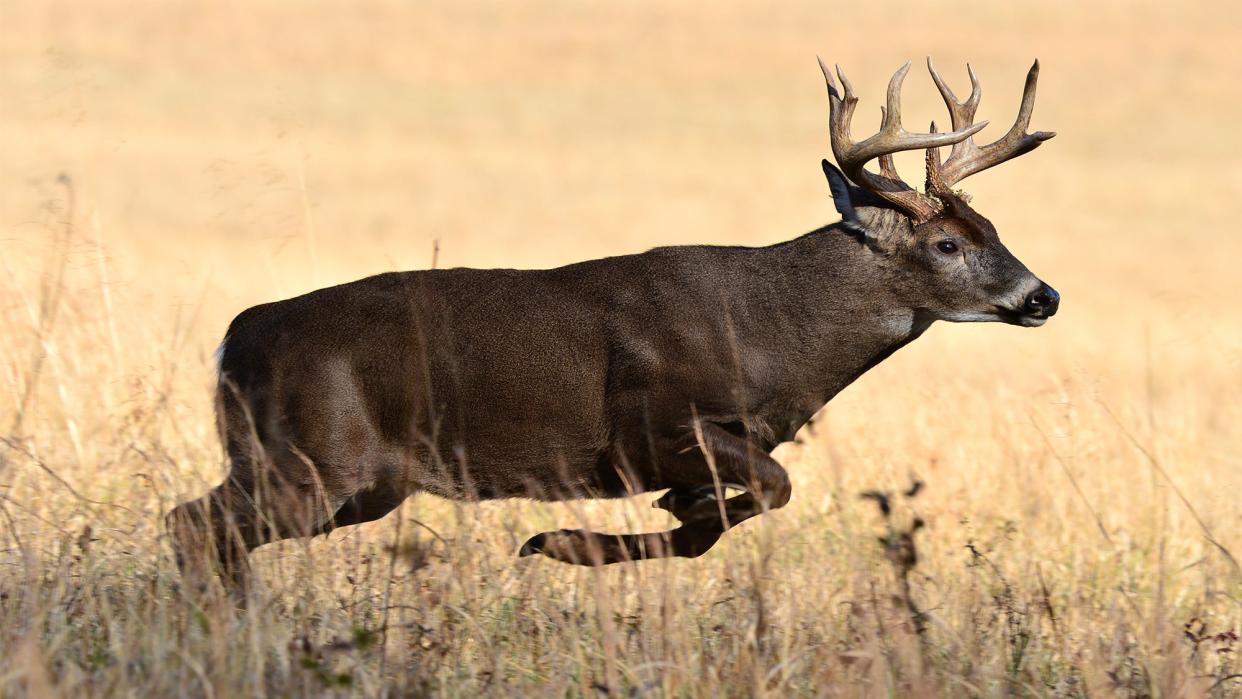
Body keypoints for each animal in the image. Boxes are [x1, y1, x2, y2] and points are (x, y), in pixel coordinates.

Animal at [165, 57, 1058, 598]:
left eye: (992, 225)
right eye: (946, 243)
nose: (1042, 295)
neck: (770, 335)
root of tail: (232, 340)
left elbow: (722, 513)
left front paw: (596, 534)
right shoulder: (648, 426)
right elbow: (771, 486)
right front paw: (561, 541)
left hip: (354, 482)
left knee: (206, 527)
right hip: (313, 459)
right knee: (191, 523)